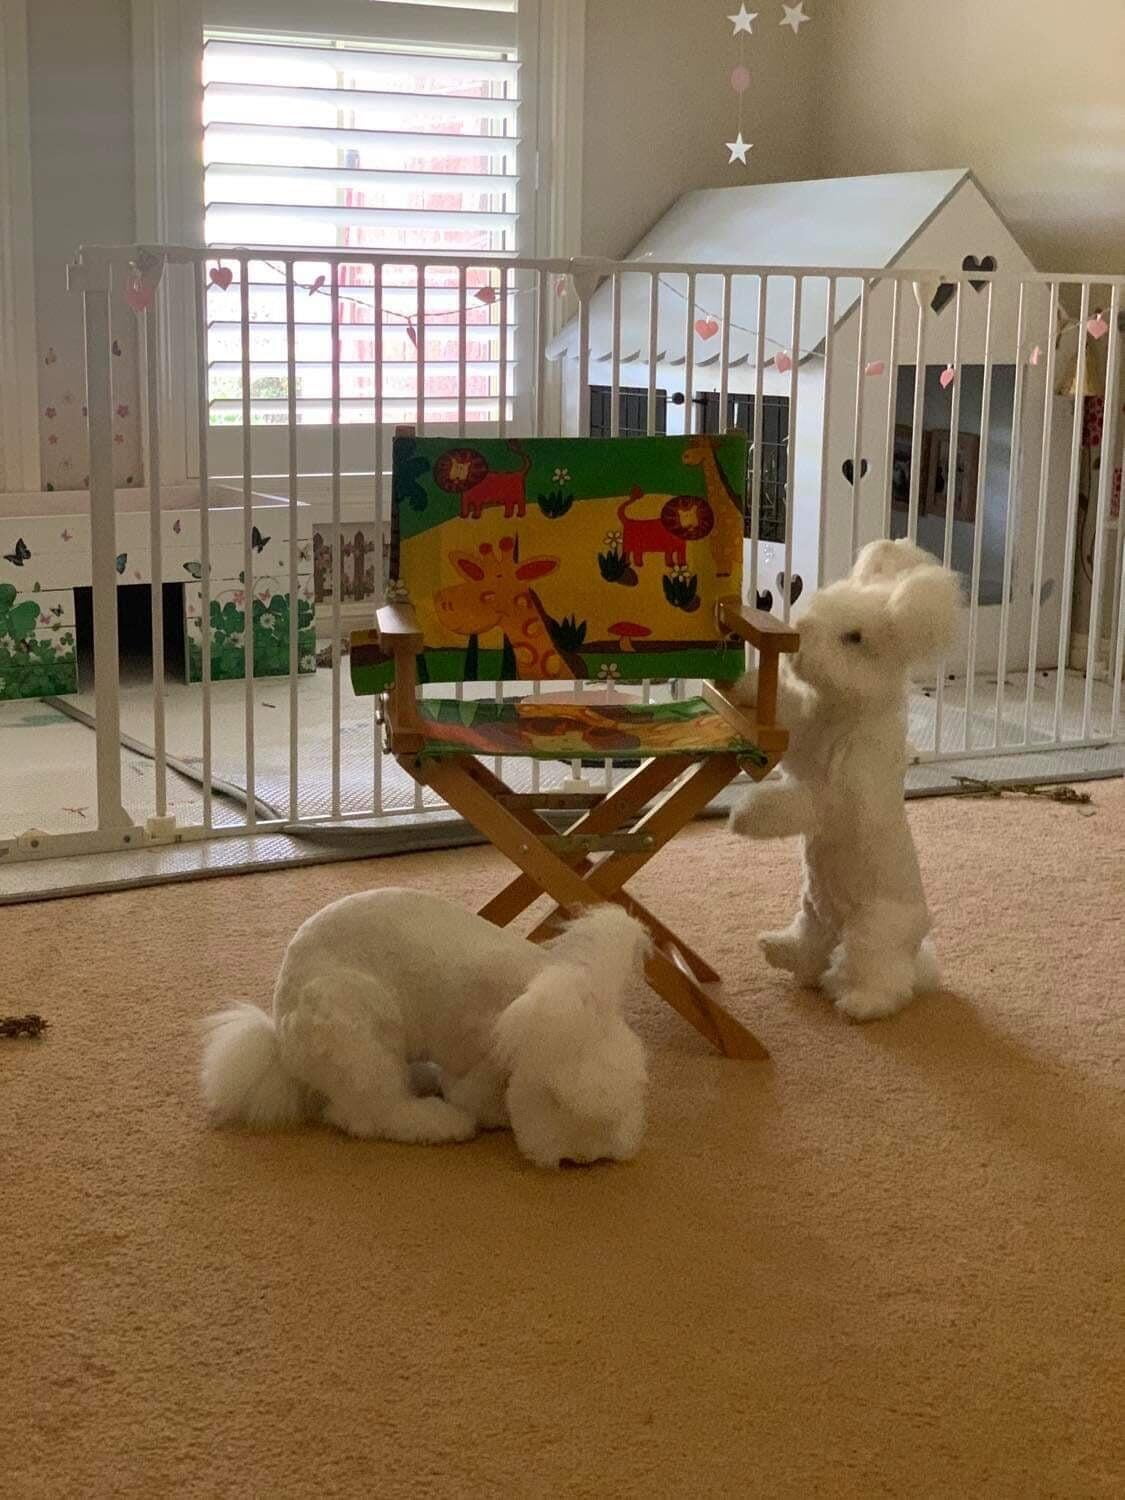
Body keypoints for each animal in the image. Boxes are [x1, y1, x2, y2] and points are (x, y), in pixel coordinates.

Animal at [198, 888, 648, 1170]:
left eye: (630, 1099)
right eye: (554, 1099)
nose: (582, 1160)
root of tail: (281, 1039)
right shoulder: (471, 1056)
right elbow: (474, 1094)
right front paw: (492, 1115)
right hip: (360, 1040)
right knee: (371, 1114)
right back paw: (444, 1123)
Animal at [735, 540, 966, 1020]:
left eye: (854, 638)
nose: (799, 631)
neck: (845, 715)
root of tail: (916, 947)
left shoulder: (832, 795)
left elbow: (791, 805)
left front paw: (742, 817)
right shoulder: (803, 737)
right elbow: (786, 711)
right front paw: (746, 686)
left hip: (871, 932)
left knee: (880, 977)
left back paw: (857, 1003)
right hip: (813, 913)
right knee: (809, 951)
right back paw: (776, 949)